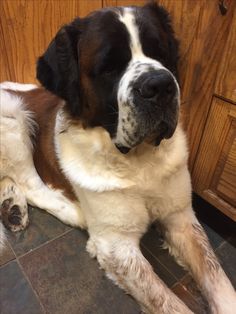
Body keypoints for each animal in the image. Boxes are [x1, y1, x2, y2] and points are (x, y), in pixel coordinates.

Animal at [0, 3, 236, 314]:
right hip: (13, 114)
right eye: (110, 67)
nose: (160, 85)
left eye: (160, 53)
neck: (139, 162)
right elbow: (168, 302)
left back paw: (12, 207)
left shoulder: (181, 217)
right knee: (32, 184)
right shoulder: (116, 245)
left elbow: (216, 276)